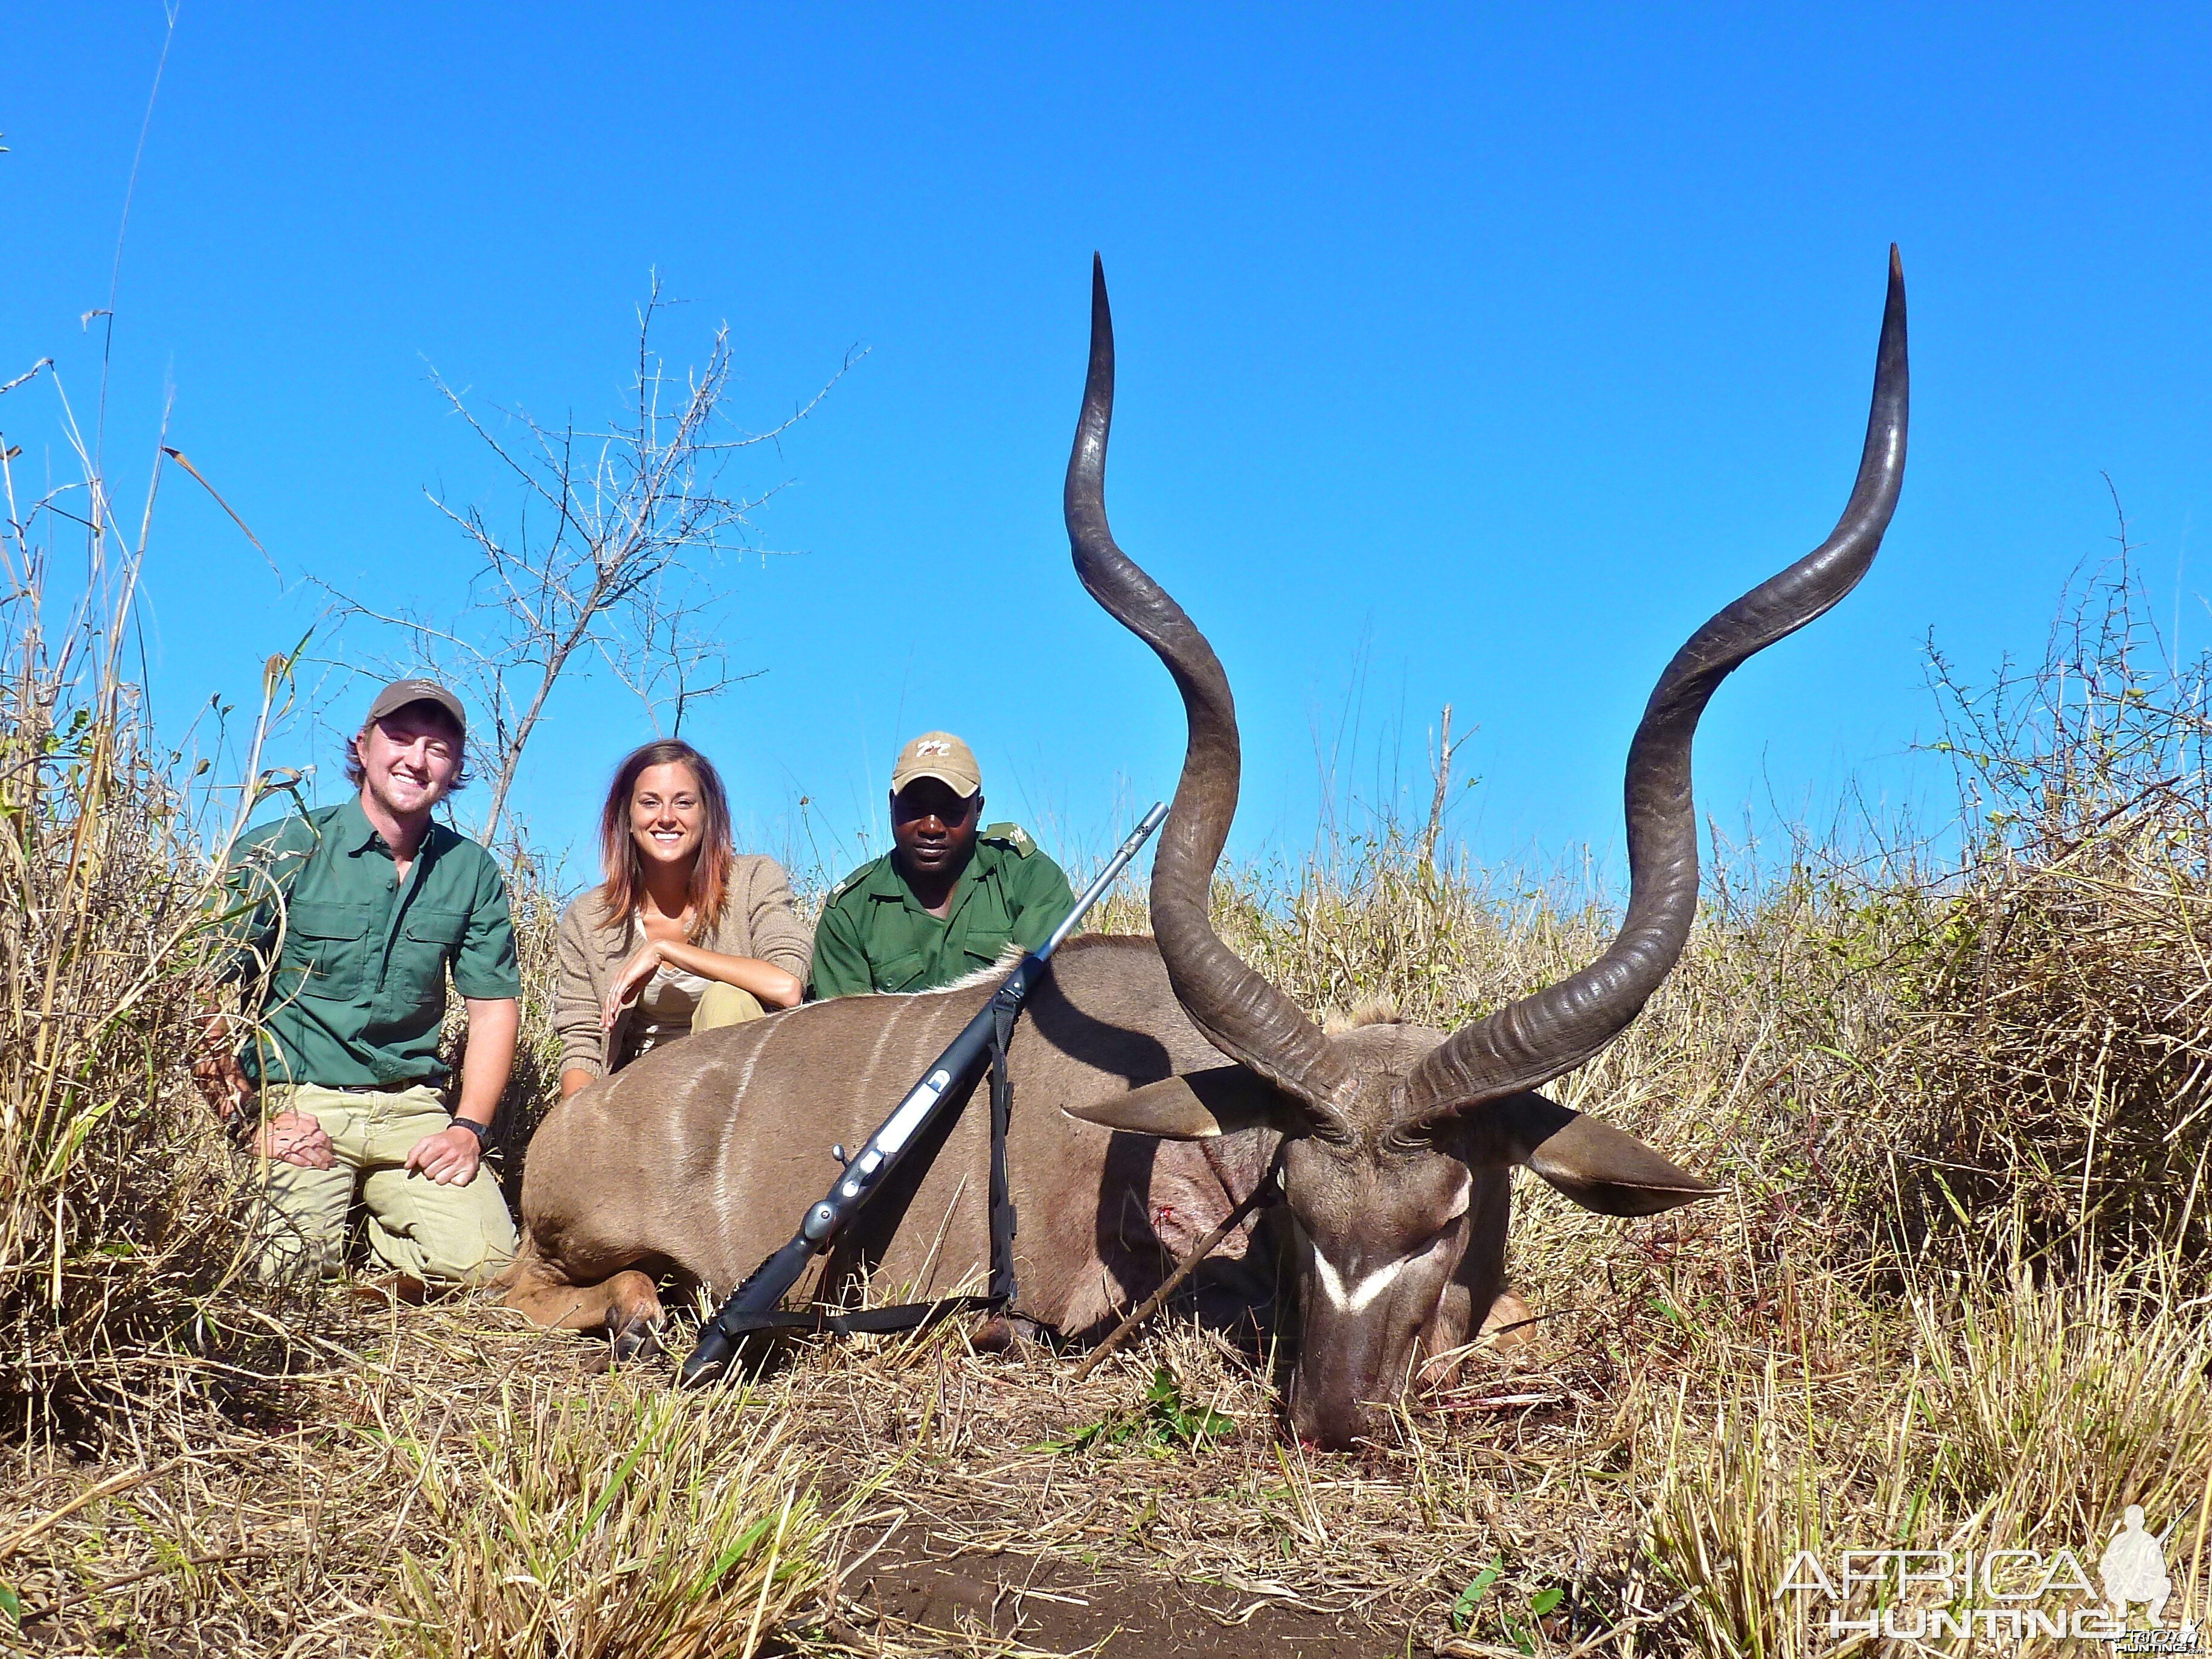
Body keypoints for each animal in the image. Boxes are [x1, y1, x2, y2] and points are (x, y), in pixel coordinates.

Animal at [502, 249, 1902, 1451]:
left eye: (1450, 1210)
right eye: (1289, 1200)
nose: (1333, 1417)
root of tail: (583, 1117)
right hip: (569, 1250)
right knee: (555, 1288)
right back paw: (647, 1315)